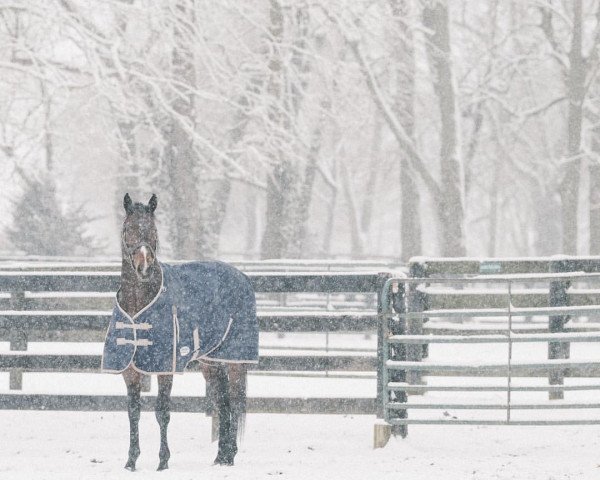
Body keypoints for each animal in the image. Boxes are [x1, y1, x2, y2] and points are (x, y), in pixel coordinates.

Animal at [101, 193, 260, 470]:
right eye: (128, 229)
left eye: (154, 230)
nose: (144, 267)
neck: (139, 305)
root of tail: (241, 276)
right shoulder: (130, 371)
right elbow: (133, 413)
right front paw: (131, 460)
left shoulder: (165, 368)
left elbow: (162, 412)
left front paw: (163, 461)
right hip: (211, 362)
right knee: (223, 402)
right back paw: (221, 456)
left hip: (235, 361)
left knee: (234, 401)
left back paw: (229, 456)